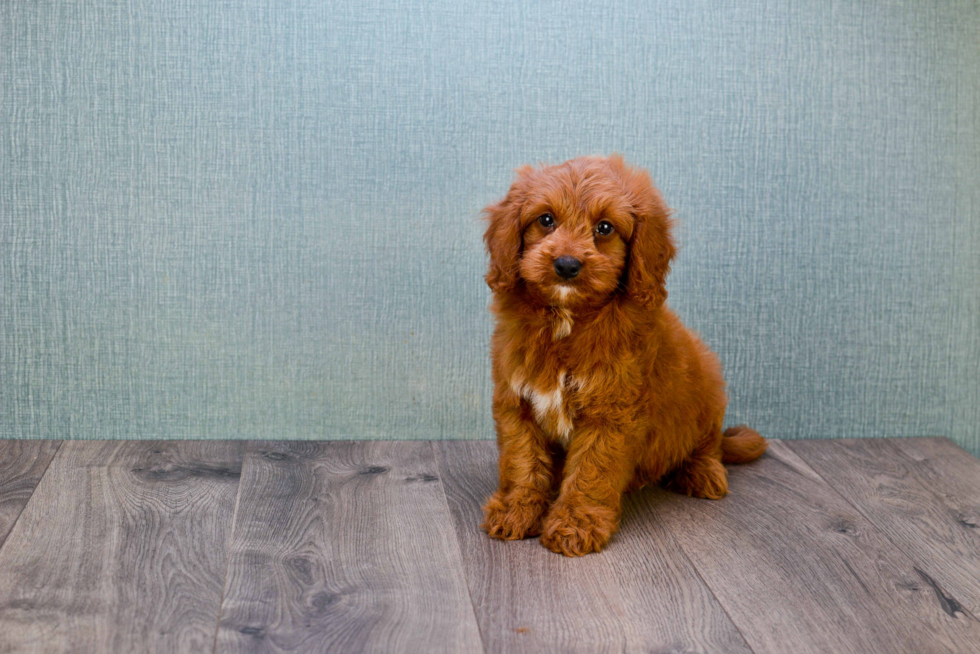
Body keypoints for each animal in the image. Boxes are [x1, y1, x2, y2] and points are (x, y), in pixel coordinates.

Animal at [478, 155, 768, 560]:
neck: (568, 320)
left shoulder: (610, 414)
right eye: (546, 220)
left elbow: (591, 471)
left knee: (707, 444)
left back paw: (703, 473)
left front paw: (575, 524)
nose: (566, 264)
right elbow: (522, 461)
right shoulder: (516, 402)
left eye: (605, 227)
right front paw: (516, 509)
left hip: (707, 386)